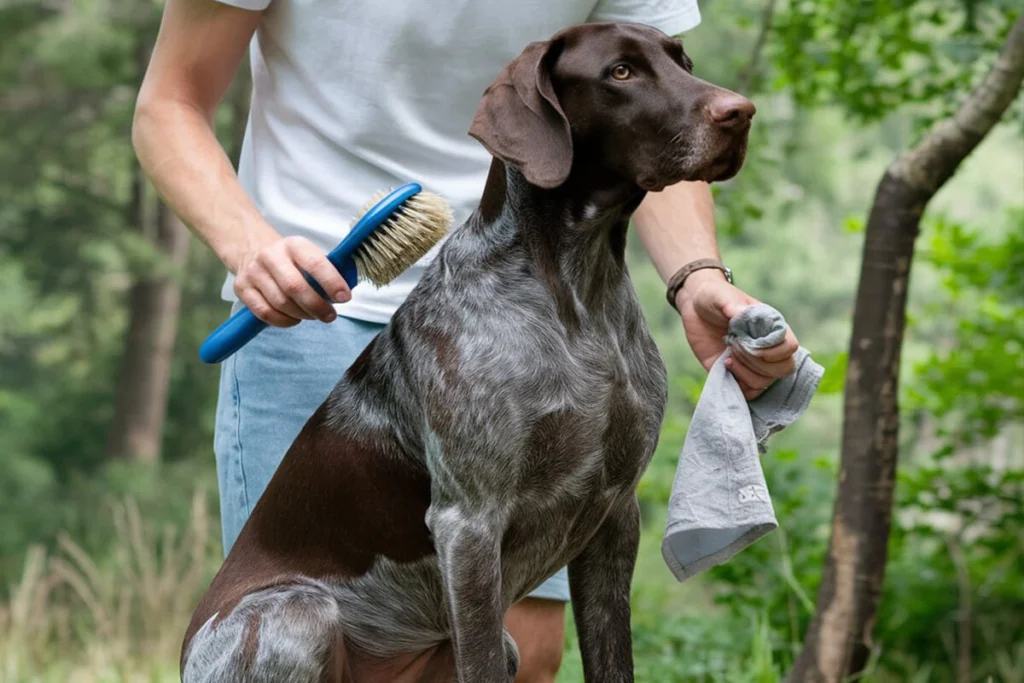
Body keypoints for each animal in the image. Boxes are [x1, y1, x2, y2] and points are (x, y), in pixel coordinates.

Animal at [180, 21, 753, 683]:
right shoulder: (469, 525)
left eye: (684, 62)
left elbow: (613, 659)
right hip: (301, 612)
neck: (576, 298)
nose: (741, 112)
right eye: (621, 72)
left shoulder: (614, 516)